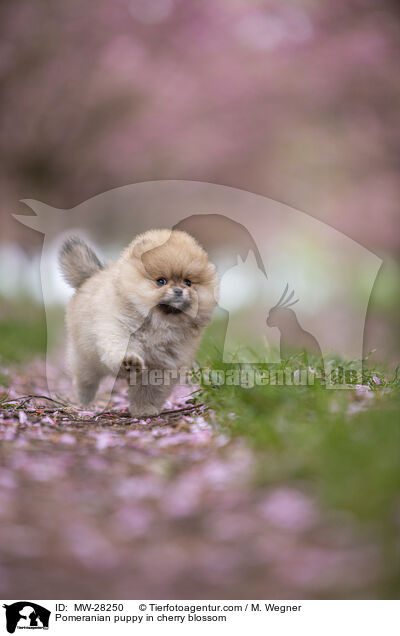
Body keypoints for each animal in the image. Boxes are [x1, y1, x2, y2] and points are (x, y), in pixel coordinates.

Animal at [58, 229, 219, 418]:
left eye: (188, 282)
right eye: (161, 281)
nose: (179, 291)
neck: (159, 323)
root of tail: (93, 276)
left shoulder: (160, 365)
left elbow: (148, 390)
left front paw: (144, 410)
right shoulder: (118, 329)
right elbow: (121, 349)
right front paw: (130, 362)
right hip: (85, 358)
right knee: (85, 380)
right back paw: (84, 402)